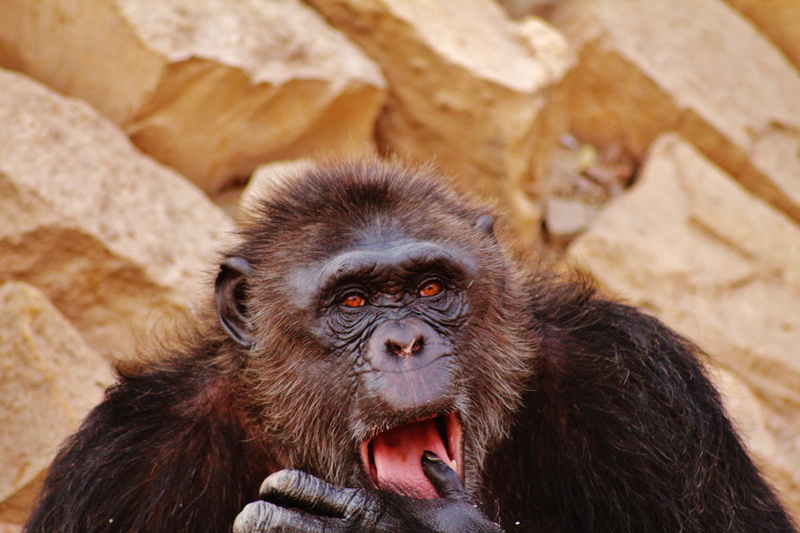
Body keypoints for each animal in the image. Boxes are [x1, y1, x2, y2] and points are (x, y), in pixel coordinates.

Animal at [25, 160, 796, 532]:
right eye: (354, 302)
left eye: (431, 288)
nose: (405, 342)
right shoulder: (123, 462)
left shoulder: (643, 390)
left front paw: (401, 526)